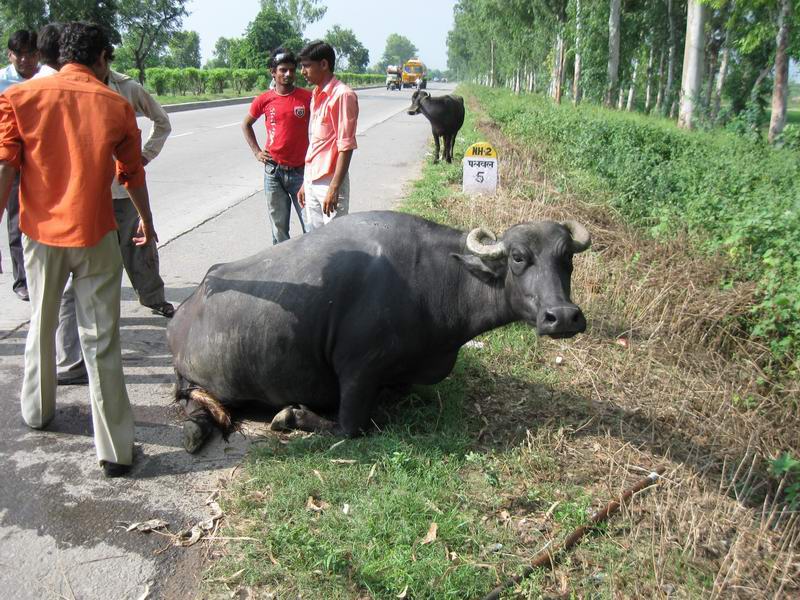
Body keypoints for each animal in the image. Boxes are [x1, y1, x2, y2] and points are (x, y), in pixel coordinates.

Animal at [166, 210, 592, 450]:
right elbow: (349, 428)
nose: (563, 316)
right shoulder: (358, 370)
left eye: (567, 258)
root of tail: (184, 310)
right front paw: (292, 416)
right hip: (198, 375)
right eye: (519, 257)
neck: (435, 278)